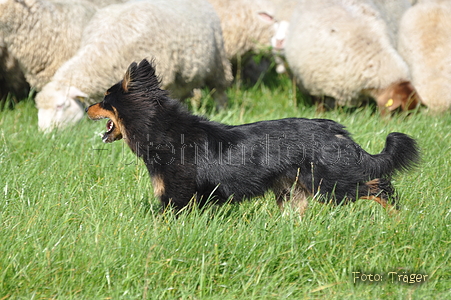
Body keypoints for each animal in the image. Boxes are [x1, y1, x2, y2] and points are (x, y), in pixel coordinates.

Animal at [35, 0, 233, 130]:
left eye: (60, 106)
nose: (44, 134)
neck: (106, 48)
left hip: (217, 62)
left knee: (219, 89)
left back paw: (222, 108)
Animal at [87, 58, 420, 213]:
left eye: (104, 99)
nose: (88, 106)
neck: (163, 131)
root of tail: (337, 131)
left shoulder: (177, 197)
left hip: (329, 183)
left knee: (380, 187)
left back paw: (397, 219)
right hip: (295, 188)